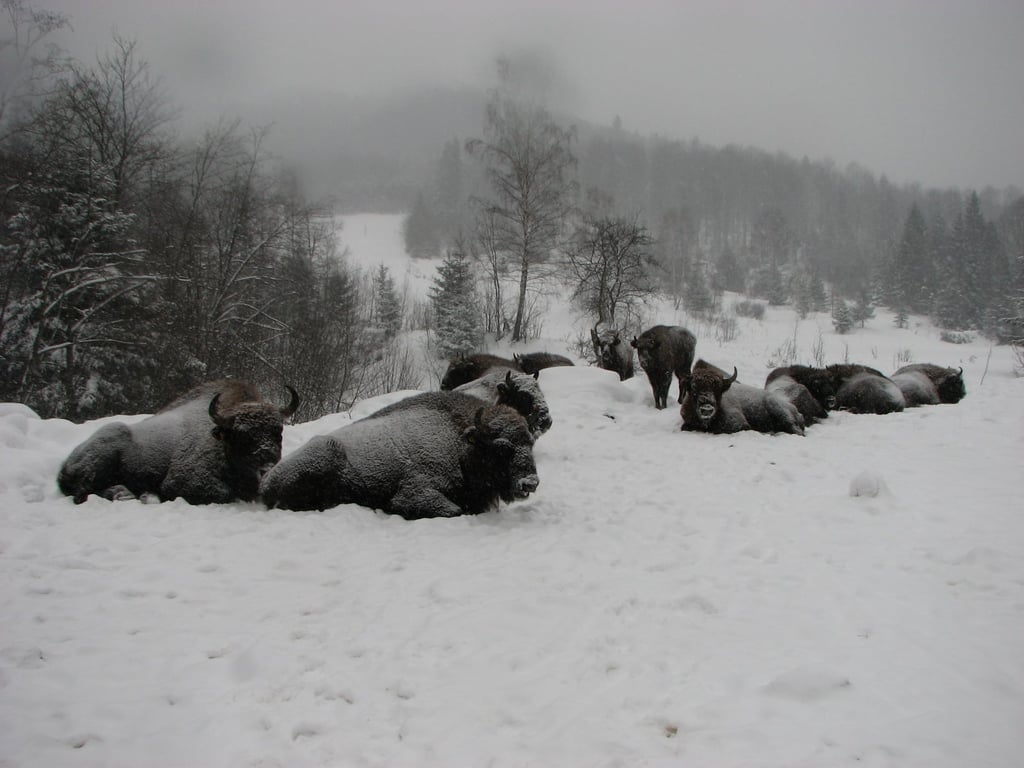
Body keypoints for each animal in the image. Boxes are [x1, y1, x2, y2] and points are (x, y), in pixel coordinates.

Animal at [56, 380, 299, 505]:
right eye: (241, 434)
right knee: (82, 493)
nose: (267, 464)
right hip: (106, 447)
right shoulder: (180, 481)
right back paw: (132, 495)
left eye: (278, 431)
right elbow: (223, 493)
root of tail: (66, 464)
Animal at [260, 393, 540, 520]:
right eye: (502, 447)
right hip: (326, 453)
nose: (530, 483)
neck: (459, 440)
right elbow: (454, 510)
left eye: (530, 442)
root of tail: (266, 481)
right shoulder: (414, 494)